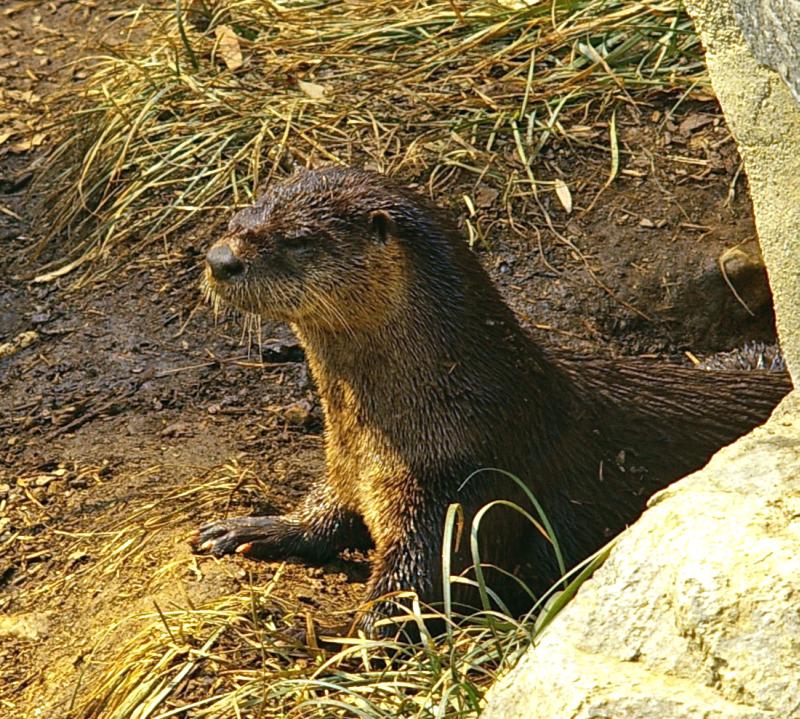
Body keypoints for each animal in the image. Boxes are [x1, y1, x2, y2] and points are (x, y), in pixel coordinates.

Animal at [191, 167, 792, 636]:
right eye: (239, 218)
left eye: (297, 240)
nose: (220, 258)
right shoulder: (348, 467)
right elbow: (324, 514)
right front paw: (255, 528)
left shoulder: (462, 489)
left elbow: (419, 591)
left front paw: (336, 648)